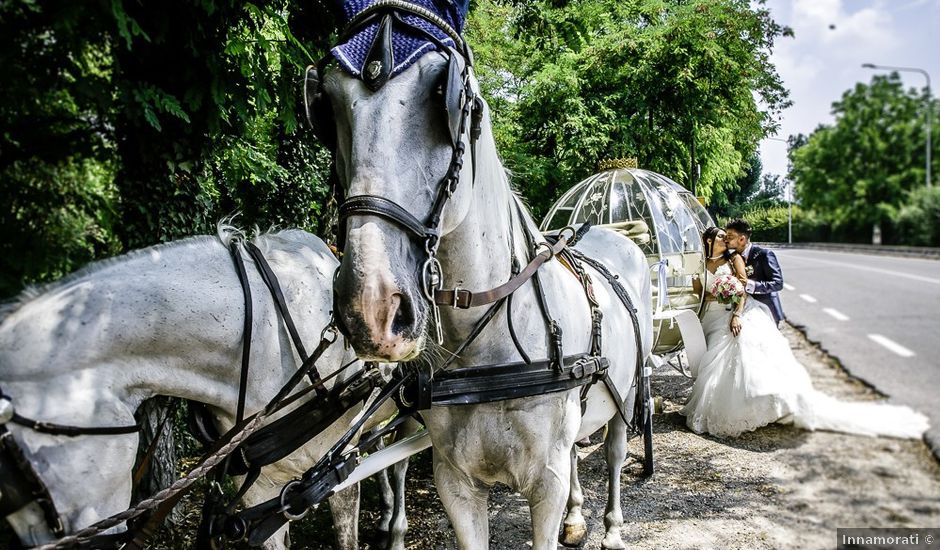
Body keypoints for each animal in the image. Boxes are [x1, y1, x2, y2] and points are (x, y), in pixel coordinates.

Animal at [324, 2, 652, 548]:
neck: (487, 351)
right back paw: (578, 517)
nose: (371, 310)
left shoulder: (545, 483)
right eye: (326, 100)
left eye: (448, 96)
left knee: (614, 451)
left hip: (627, 391)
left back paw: (611, 527)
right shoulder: (455, 483)